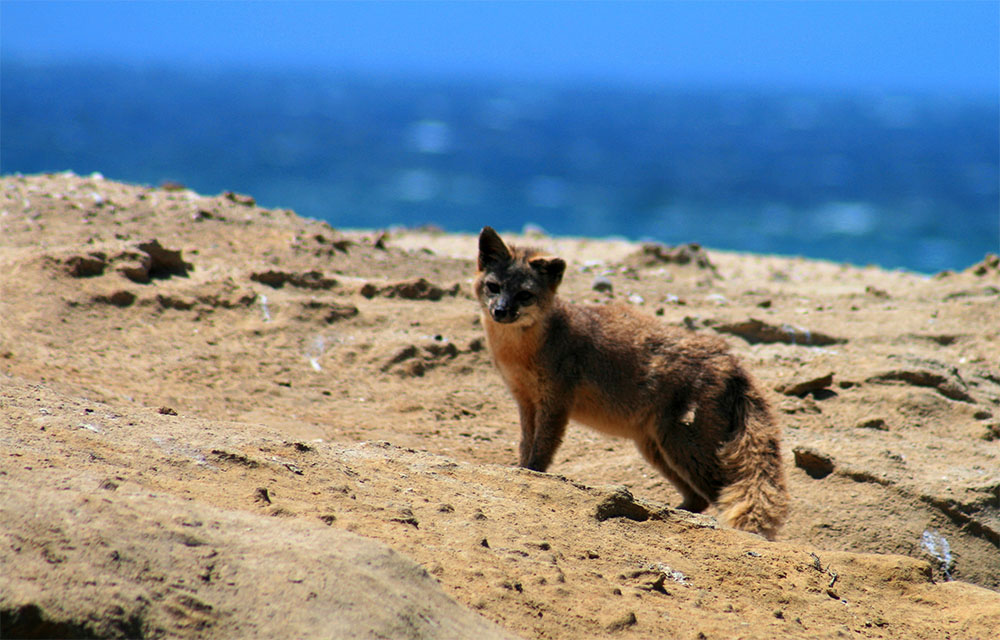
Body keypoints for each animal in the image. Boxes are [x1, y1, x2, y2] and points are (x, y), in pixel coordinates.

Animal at [470, 228, 788, 536]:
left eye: (525, 295)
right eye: (493, 287)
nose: (500, 311)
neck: (519, 353)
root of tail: (730, 358)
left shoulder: (556, 402)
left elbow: (541, 451)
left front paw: (532, 473)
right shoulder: (525, 401)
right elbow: (526, 445)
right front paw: (520, 469)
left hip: (680, 446)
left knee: (719, 493)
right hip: (656, 448)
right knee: (698, 498)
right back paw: (670, 513)